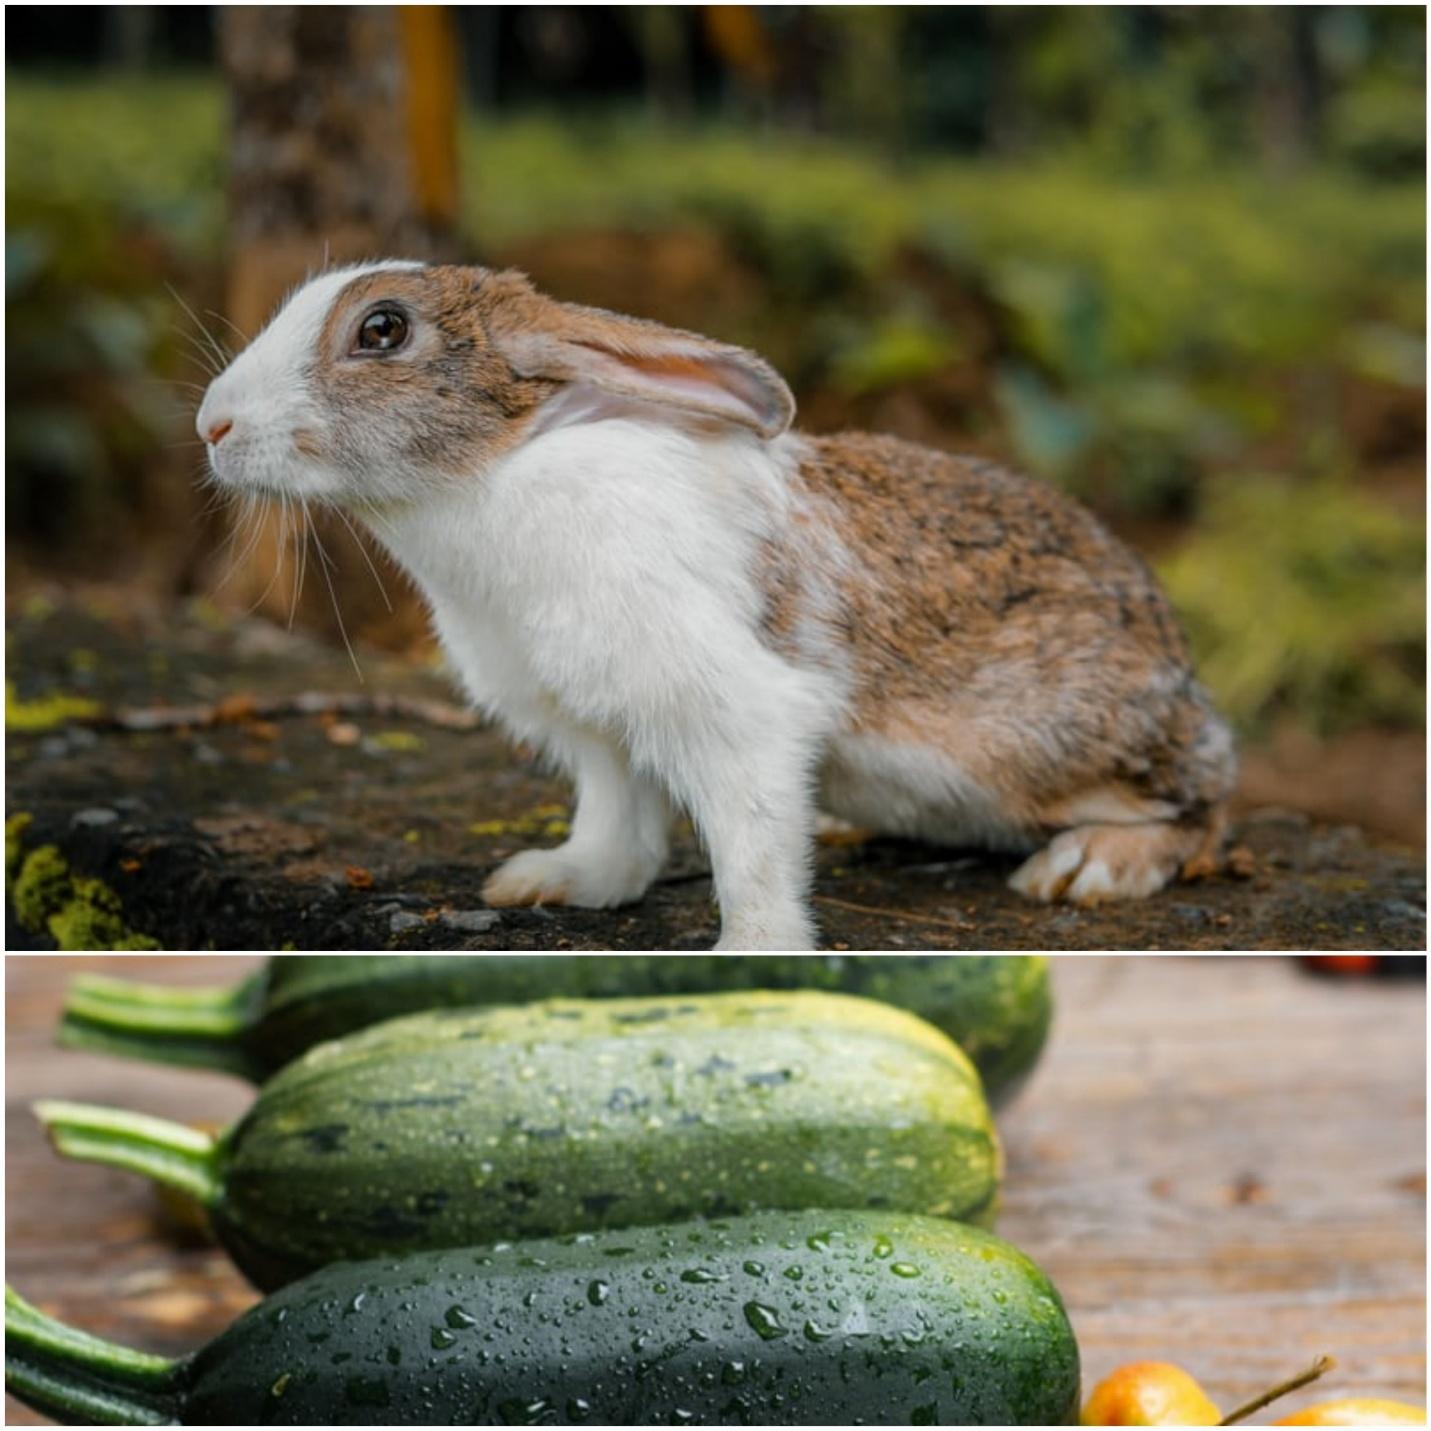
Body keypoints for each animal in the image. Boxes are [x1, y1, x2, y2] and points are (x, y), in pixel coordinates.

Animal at [195, 260, 1235, 951]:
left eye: (381, 330)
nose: (212, 423)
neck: (495, 471)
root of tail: (1180, 670)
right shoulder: (597, 732)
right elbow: (618, 827)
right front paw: (553, 882)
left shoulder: (733, 711)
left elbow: (751, 849)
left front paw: (754, 954)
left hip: (1040, 750)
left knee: (1204, 806)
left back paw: (1089, 865)